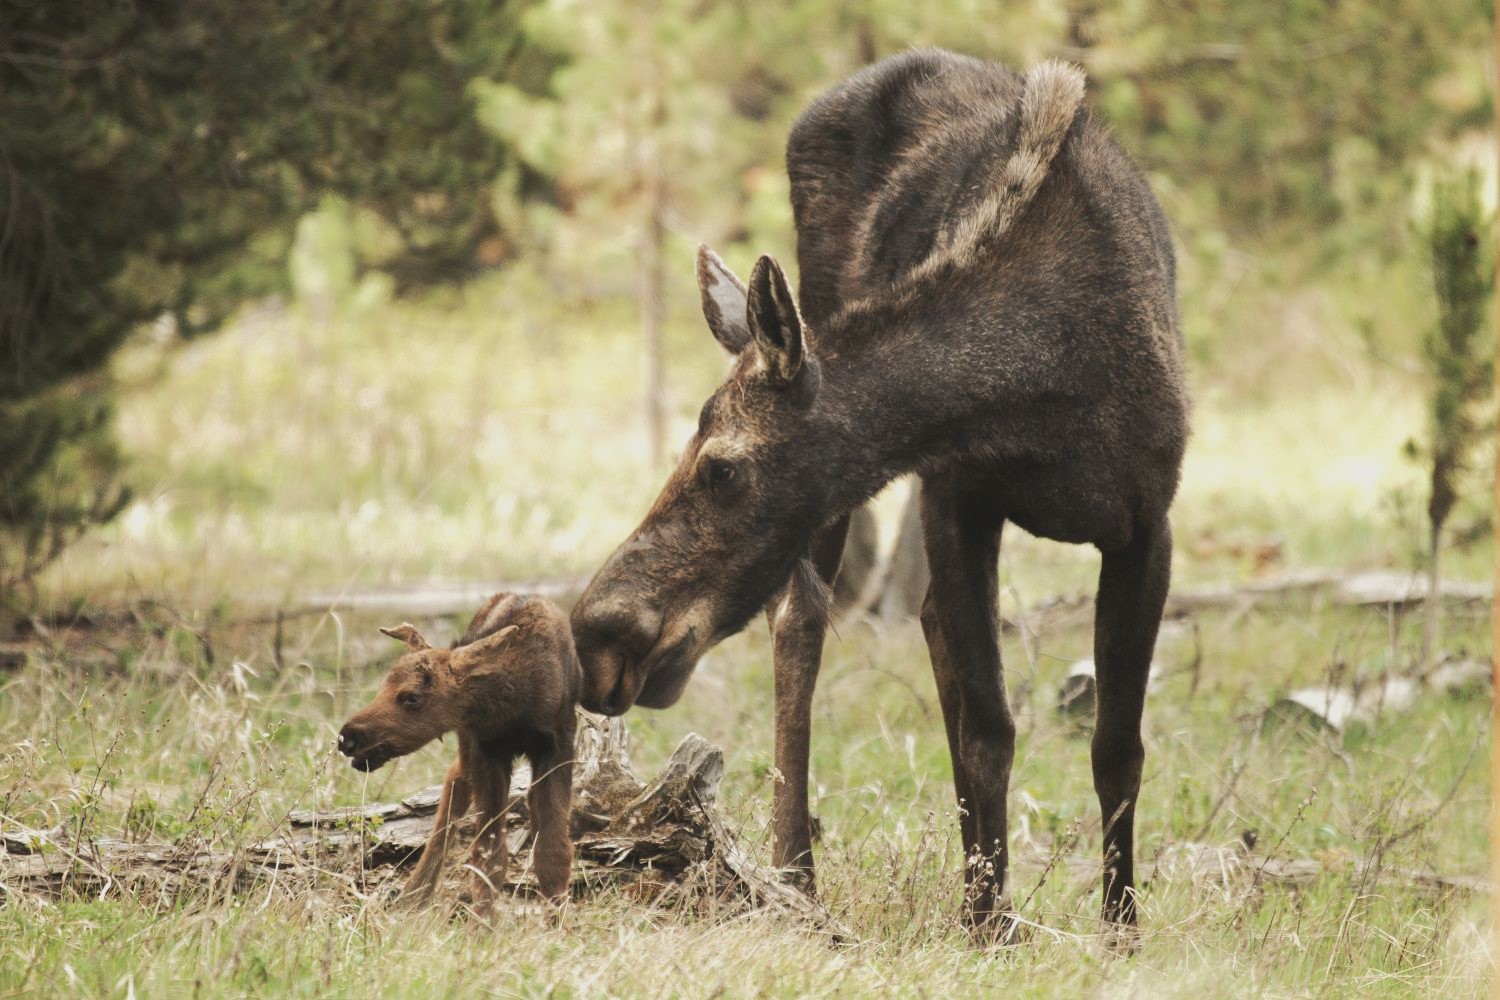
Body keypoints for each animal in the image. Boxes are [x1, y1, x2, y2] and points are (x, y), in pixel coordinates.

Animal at [337, 594, 579, 915]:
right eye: (382, 687)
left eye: (412, 697)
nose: (347, 737)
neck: (514, 707)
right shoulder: (484, 749)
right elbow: (489, 855)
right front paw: (483, 923)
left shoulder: (557, 747)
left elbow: (553, 850)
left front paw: (559, 919)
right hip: (467, 745)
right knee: (455, 782)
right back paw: (414, 894)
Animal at [568, 49, 1188, 943]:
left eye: (721, 466)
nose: (598, 634)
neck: (1046, 391)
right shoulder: (956, 495)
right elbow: (991, 725)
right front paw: (989, 922)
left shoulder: (1146, 523)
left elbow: (1116, 744)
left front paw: (1117, 926)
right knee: (803, 624)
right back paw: (796, 872)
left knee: (921, 630)